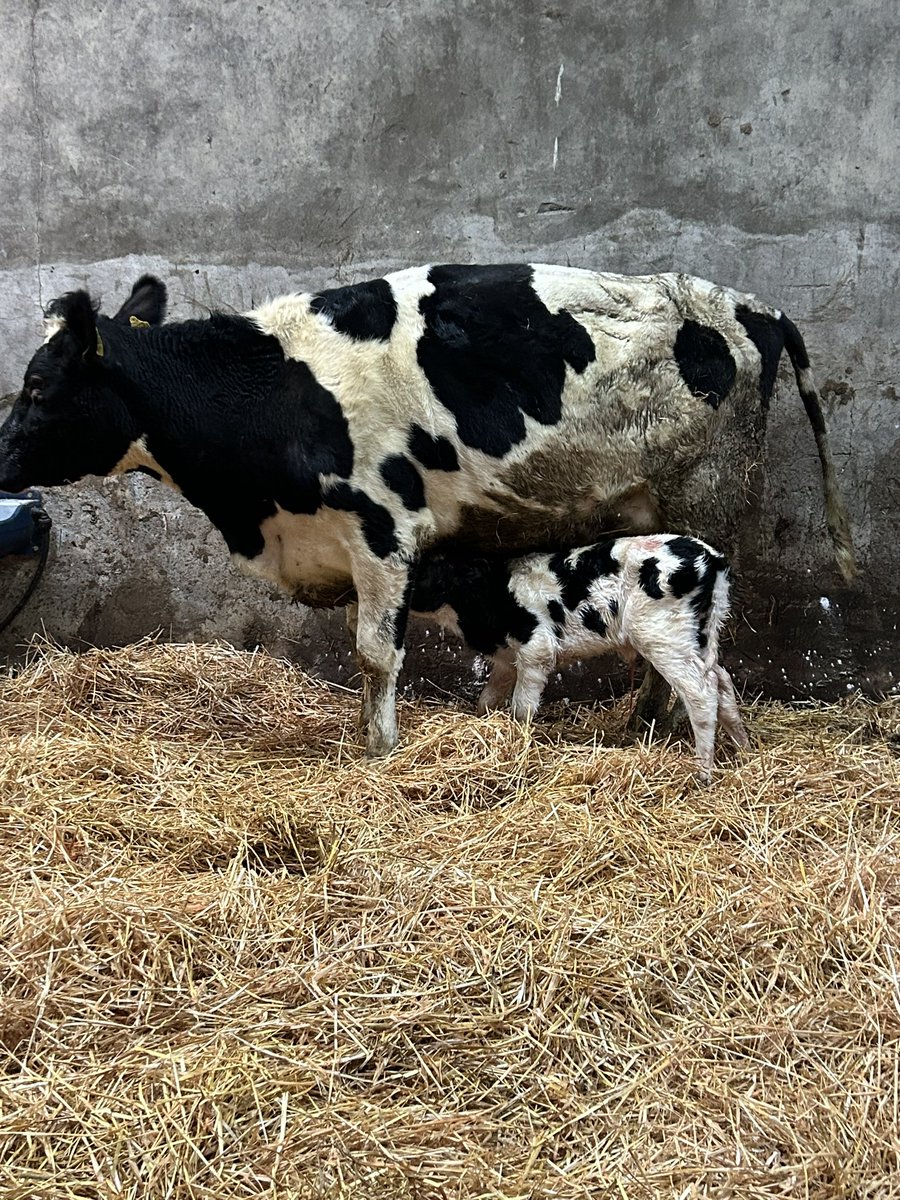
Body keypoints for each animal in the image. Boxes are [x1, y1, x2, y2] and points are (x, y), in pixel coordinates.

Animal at [0, 264, 856, 755]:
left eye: (38, 386)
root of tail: (751, 306)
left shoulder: (381, 531)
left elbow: (377, 655)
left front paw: (378, 749)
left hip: (709, 495)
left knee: (688, 649)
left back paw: (663, 727)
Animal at [410, 534, 750, 781]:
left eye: (425, 573)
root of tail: (711, 557)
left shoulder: (536, 650)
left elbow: (521, 707)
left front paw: (518, 741)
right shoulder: (507, 659)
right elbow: (488, 700)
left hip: (666, 637)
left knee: (700, 693)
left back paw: (702, 771)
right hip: (702, 636)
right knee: (722, 682)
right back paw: (744, 750)